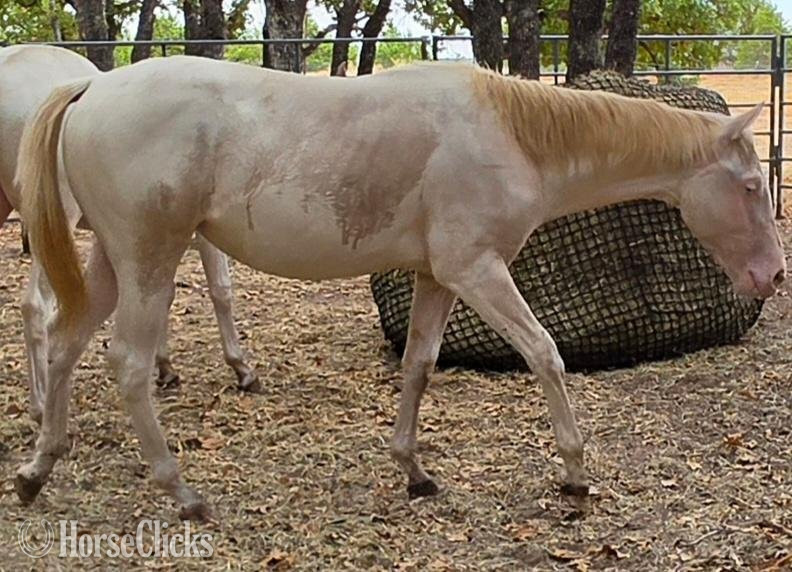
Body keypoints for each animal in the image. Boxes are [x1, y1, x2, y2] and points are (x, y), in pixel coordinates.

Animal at [0, 45, 259, 421]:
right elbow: (221, 291)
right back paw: (40, 404)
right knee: (35, 306)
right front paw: (241, 369)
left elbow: (165, 295)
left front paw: (165, 367)